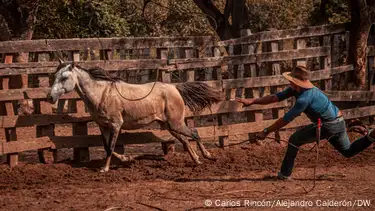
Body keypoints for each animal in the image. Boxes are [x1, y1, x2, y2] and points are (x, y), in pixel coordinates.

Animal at [47, 59, 223, 171]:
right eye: (54, 76)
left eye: (64, 77)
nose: (49, 97)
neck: (102, 94)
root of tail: (174, 87)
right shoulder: (103, 126)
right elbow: (106, 146)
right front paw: (127, 159)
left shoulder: (116, 125)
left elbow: (111, 147)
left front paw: (105, 169)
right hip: (169, 125)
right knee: (186, 140)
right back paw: (197, 160)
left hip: (176, 123)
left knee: (195, 133)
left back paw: (208, 156)